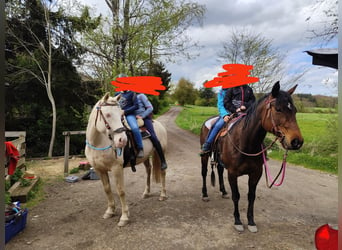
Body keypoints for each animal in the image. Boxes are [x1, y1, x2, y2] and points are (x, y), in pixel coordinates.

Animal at [84, 92, 167, 227]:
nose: (122, 140)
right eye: (108, 114)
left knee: (162, 171)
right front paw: (110, 211)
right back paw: (146, 193)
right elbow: (107, 189)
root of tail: (158, 125)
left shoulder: (116, 168)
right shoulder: (99, 170)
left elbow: (120, 191)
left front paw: (124, 217)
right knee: (148, 170)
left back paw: (163, 195)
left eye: (121, 114)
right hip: (145, 157)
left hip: (161, 152)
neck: (98, 143)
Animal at [199, 82, 304, 232]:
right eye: (278, 109)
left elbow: (251, 196)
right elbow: (236, 196)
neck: (245, 141)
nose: (297, 141)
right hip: (205, 156)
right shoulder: (232, 173)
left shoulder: (256, 173)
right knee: (204, 172)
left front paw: (251, 222)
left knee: (219, 171)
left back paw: (223, 191)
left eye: (294, 110)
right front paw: (237, 221)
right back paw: (205, 195)